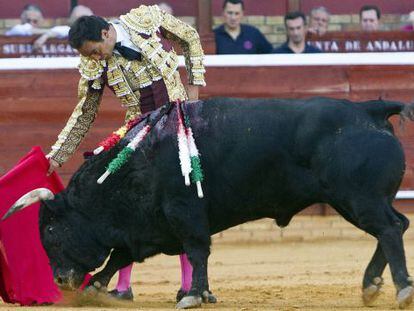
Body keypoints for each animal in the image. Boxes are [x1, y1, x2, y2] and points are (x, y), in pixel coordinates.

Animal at [4, 97, 414, 310]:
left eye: (51, 230)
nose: (61, 280)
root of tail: (370, 110)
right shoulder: (150, 226)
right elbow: (122, 255)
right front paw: (97, 289)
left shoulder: (184, 214)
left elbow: (198, 250)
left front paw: (193, 295)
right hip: (361, 200)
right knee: (396, 225)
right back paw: (371, 285)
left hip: (357, 198)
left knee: (391, 229)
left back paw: (400, 289)